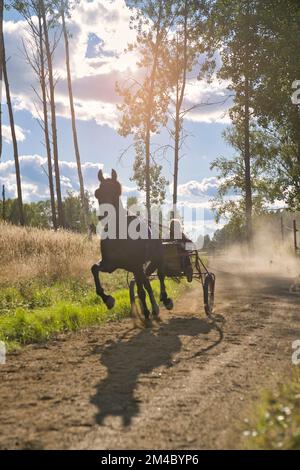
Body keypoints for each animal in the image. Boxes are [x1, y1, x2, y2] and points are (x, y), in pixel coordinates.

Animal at [91, 167, 173, 324]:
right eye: (97, 192)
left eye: (117, 190)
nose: (104, 215)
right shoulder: (110, 264)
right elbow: (94, 269)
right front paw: (108, 299)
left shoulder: (135, 265)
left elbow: (141, 291)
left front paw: (146, 312)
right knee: (146, 283)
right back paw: (154, 309)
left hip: (156, 258)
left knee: (160, 276)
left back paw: (164, 300)